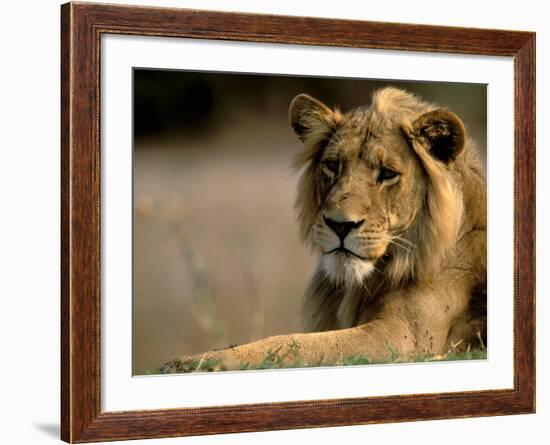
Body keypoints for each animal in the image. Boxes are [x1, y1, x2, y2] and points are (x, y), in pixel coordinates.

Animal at [162, 86, 490, 372]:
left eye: (388, 174)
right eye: (333, 165)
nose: (340, 225)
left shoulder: (406, 338)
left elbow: (293, 345)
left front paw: (195, 362)